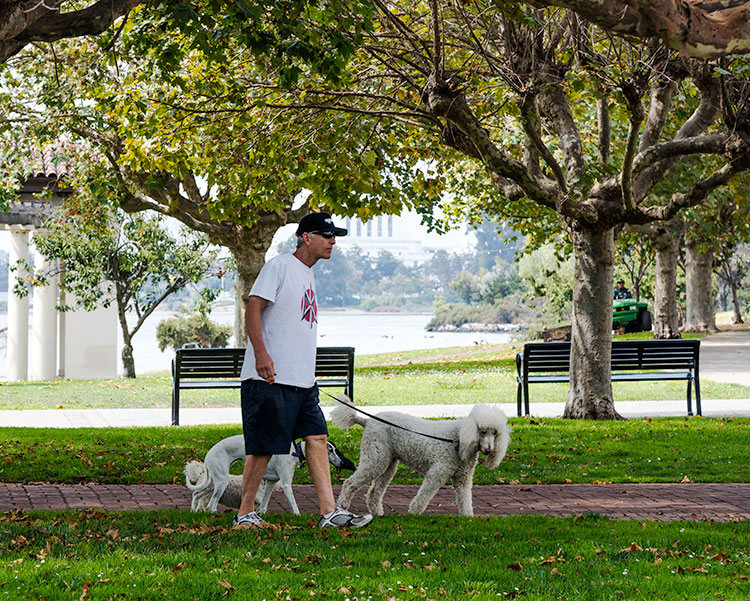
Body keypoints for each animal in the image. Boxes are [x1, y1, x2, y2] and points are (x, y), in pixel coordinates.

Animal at [184, 435, 355, 514]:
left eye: (335, 449)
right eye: (330, 450)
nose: (342, 463)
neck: (295, 451)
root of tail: (209, 454)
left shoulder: (271, 483)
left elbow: (264, 504)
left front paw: (261, 514)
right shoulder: (285, 484)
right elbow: (294, 504)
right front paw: (298, 516)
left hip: (214, 482)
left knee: (197, 494)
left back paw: (193, 511)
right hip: (221, 483)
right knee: (211, 504)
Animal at [331, 400, 511, 517]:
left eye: (495, 433)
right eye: (482, 431)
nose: (488, 450)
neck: (459, 439)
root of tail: (367, 421)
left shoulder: (463, 479)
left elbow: (465, 499)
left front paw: (468, 517)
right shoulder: (436, 473)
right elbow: (424, 495)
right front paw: (414, 513)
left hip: (388, 464)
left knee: (374, 491)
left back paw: (377, 513)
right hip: (376, 459)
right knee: (349, 483)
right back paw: (343, 506)